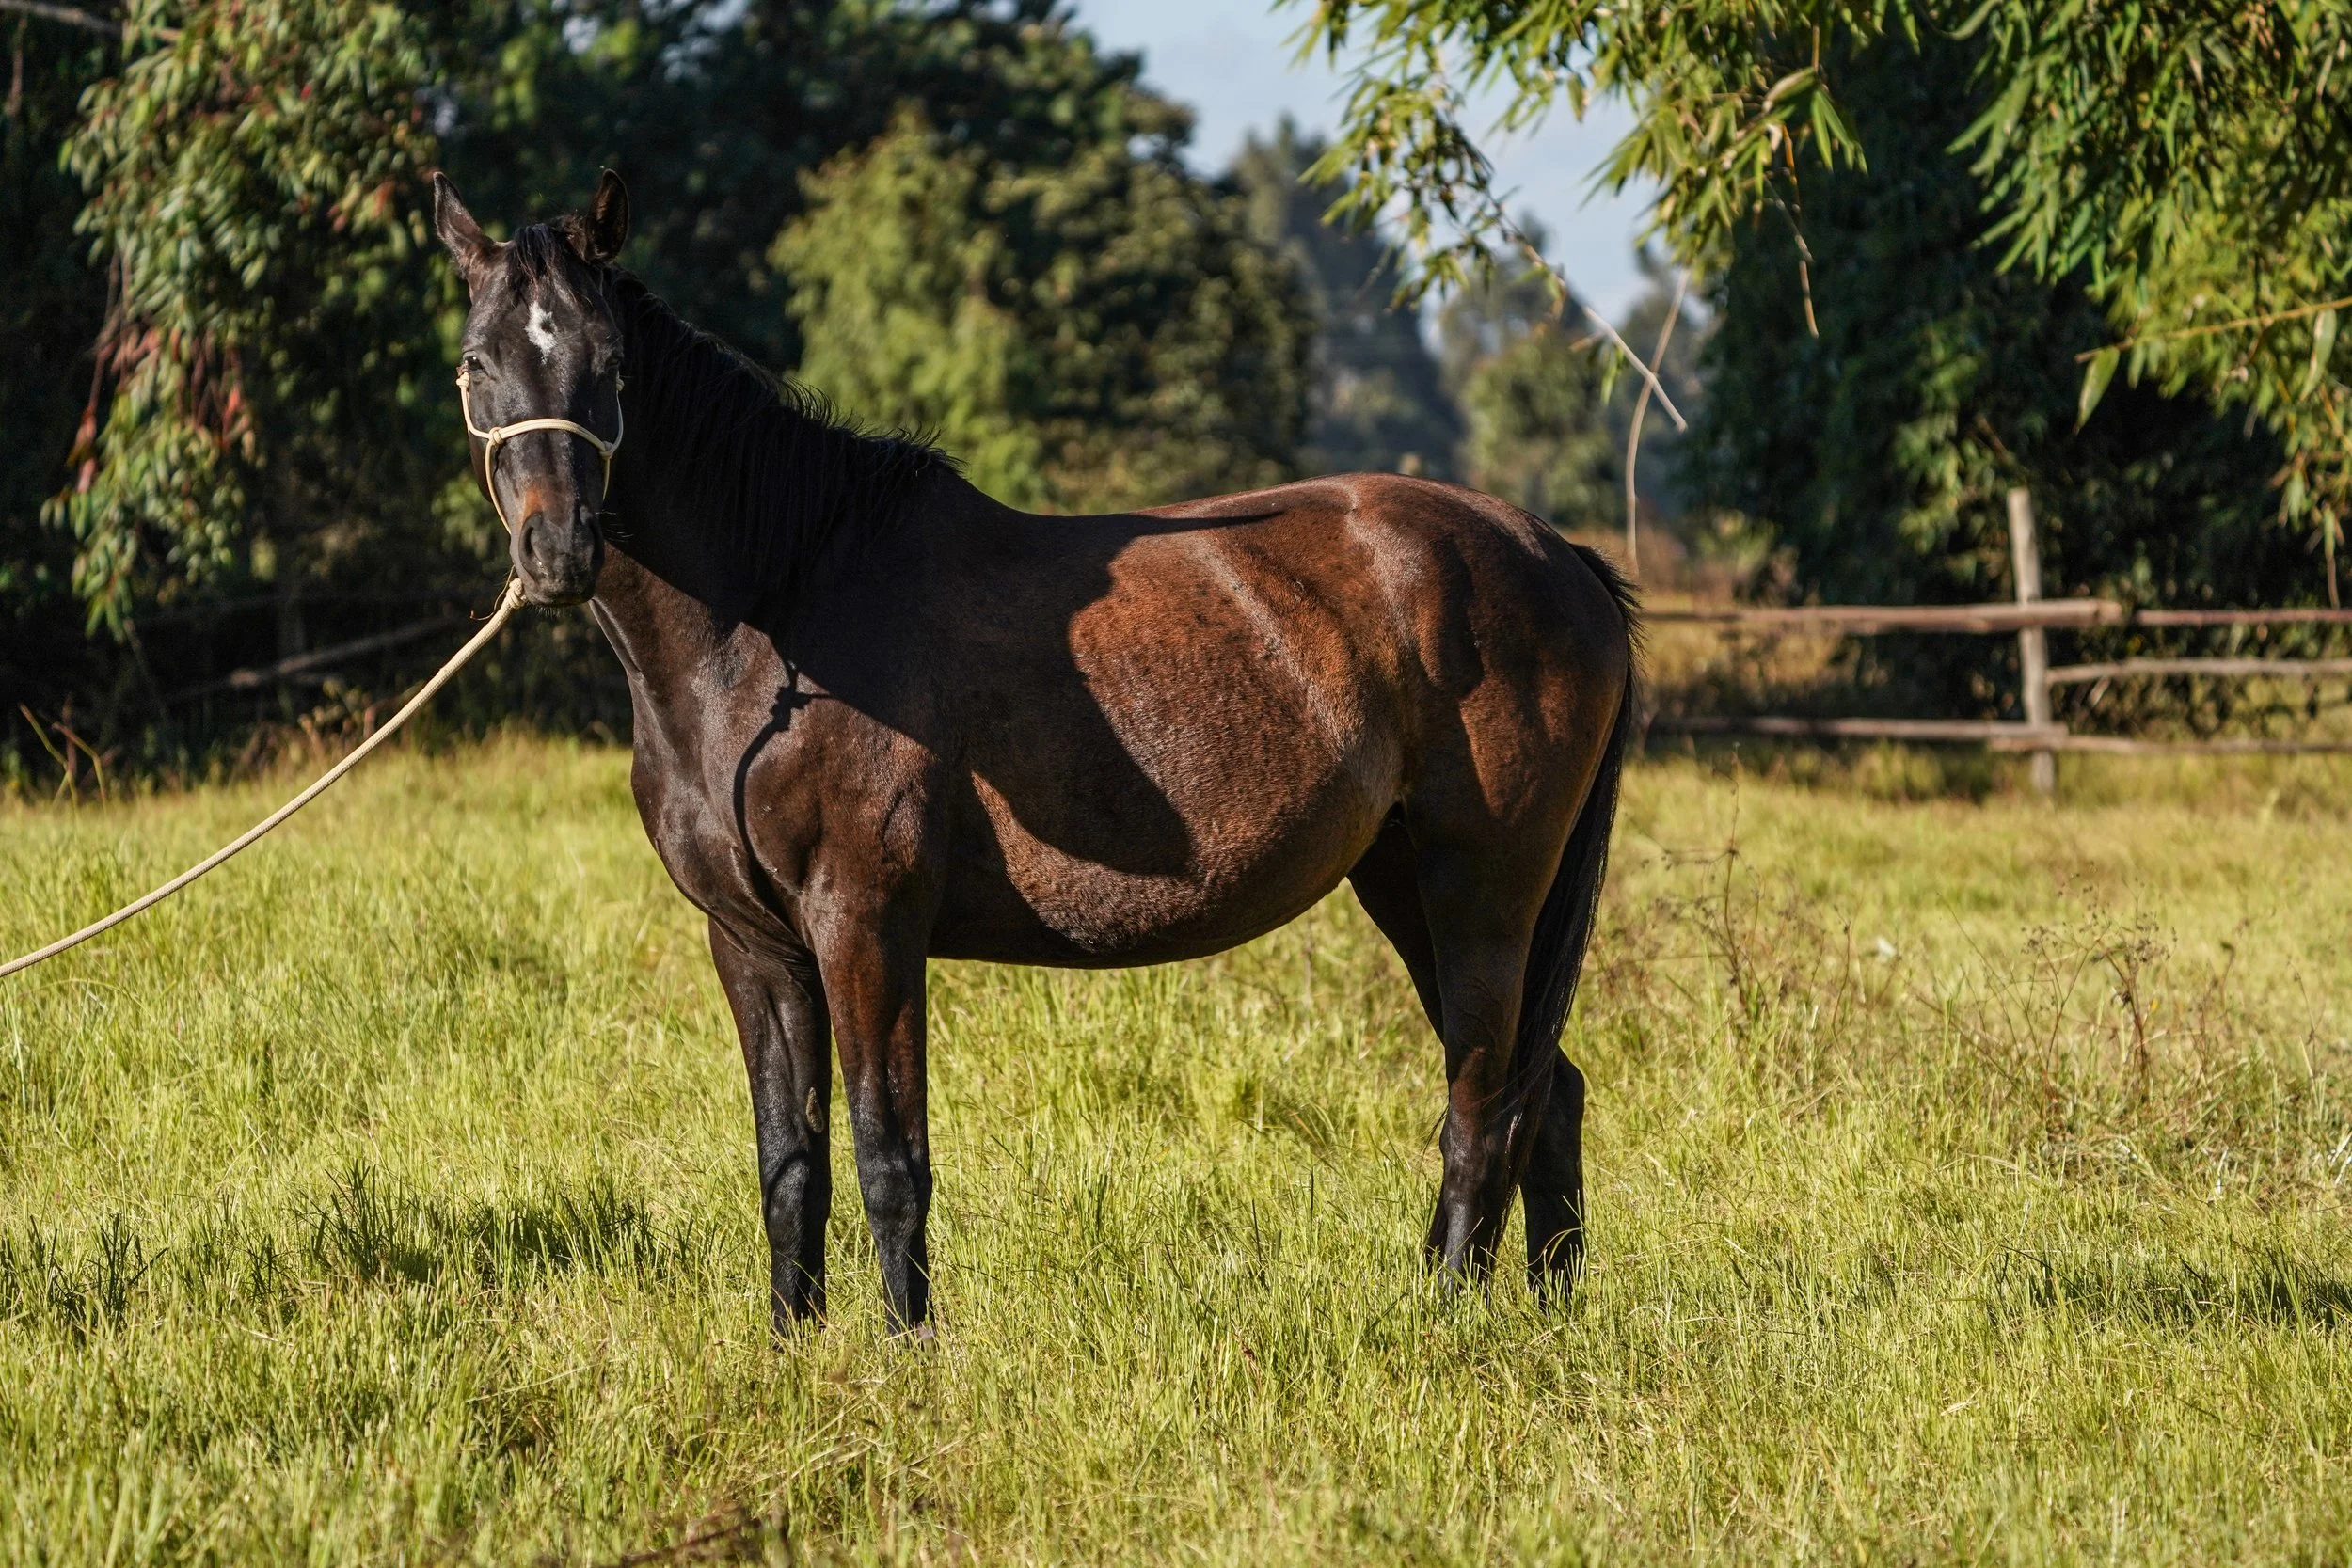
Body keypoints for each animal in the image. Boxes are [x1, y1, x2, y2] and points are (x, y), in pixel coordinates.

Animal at [431, 170, 1639, 1333]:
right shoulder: (754, 944)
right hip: (1404, 886)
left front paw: (908, 1353)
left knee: (1482, 1106)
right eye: (477, 362)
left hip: (1480, 895)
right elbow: (789, 1165)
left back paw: (1448, 1320)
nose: (556, 551)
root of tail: (1557, 554)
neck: (777, 616)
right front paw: (791, 1348)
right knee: (1547, 1094)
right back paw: (1542, 1316)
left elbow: (888, 1160)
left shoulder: (867, 925)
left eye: (609, 363)